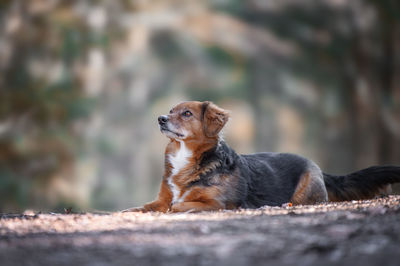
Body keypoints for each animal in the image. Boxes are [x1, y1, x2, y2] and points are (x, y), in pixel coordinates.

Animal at [124, 101, 400, 213]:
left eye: (187, 114)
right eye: (171, 111)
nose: (160, 118)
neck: (190, 158)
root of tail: (318, 166)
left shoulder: (219, 203)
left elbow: (180, 204)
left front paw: (177, 207)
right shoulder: (161, 198)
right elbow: (146, 206)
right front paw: (131, 209)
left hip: (303, 193)